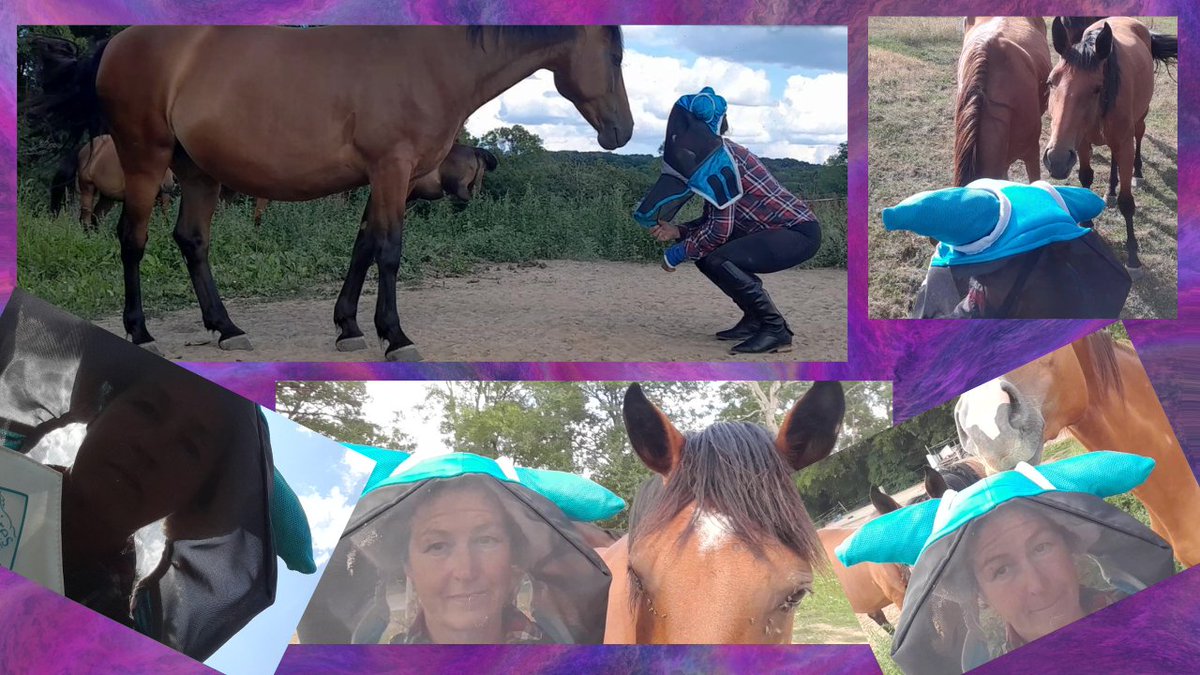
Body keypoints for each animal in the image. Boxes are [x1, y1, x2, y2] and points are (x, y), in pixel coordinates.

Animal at [1044, 18, 1177, 277]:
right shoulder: (1082, 143)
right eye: (1051, 82)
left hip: (1139, 120)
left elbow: (1128, 203)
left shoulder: (1124, 144)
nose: (1056, 160)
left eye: (1097, 88)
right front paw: (1087, 224)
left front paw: (1133, 257)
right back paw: (1111, 190)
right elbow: (1086, 178)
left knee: (1138, 137)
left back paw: (1137, 173)